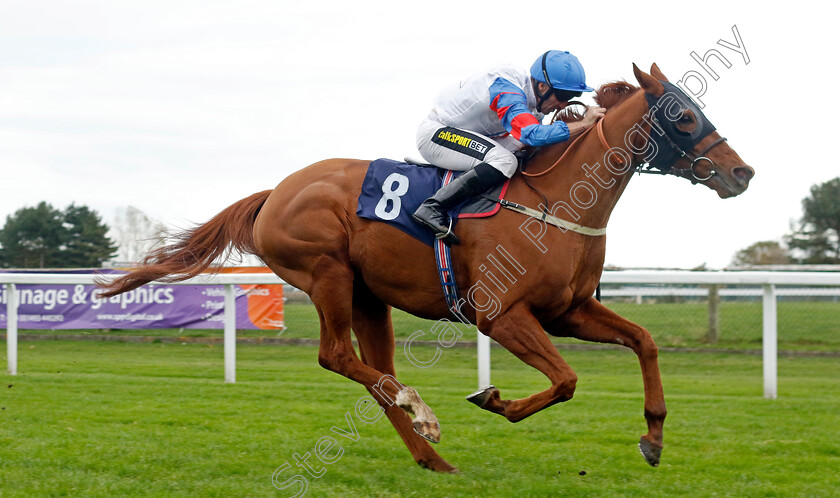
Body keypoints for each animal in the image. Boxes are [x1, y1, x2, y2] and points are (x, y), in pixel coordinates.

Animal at [98, 64, 756, 472]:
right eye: (683, 116)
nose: (742, 172)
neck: (556, 200)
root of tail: (275, 192)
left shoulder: (568, 310)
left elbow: (644, 341)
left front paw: (653, 437)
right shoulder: (501, 315)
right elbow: (566, 380)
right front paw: (495, 401)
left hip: (369, 297)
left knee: (374, 373)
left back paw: (431, 455)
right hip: (326, 273)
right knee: (337, 357)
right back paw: (424, 413)